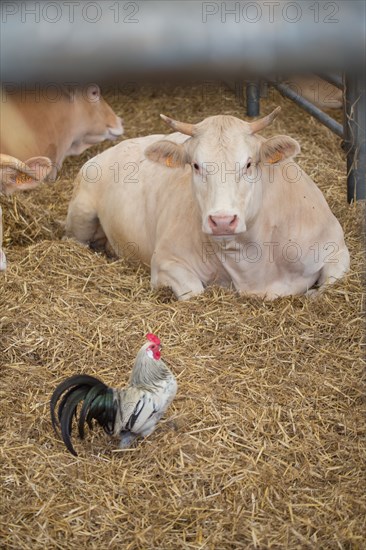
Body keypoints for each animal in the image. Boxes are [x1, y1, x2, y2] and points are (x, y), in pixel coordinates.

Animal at [65, 108, 348, 302]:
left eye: (248, 163)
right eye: (196, 165)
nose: (222, 221)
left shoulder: (336, 248)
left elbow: (330, 283)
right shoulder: (166, 261)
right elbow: (195, 292)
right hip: (81, 213)